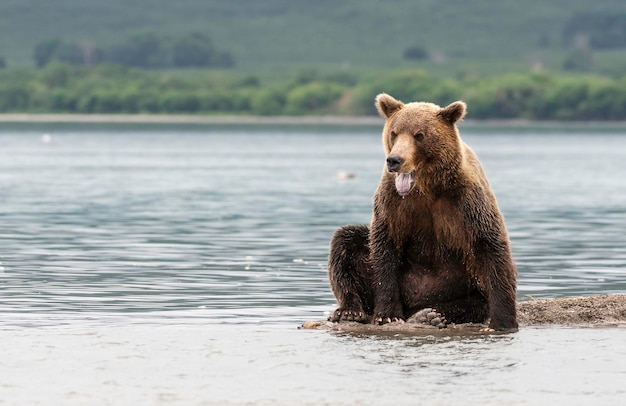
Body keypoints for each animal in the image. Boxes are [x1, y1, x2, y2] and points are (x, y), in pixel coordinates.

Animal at [326, 93, 516, 332]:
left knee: (474, 302)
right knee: (346, 242)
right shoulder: (393, 203)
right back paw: (350, 310)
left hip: (466, 282)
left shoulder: (467, 200)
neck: (425, 186)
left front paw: (502, 322)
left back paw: (434, 315)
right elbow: (384, 249)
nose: (395, 160)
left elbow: (490, 244)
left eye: (419, 135)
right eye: (394, 132)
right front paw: (387, 315)